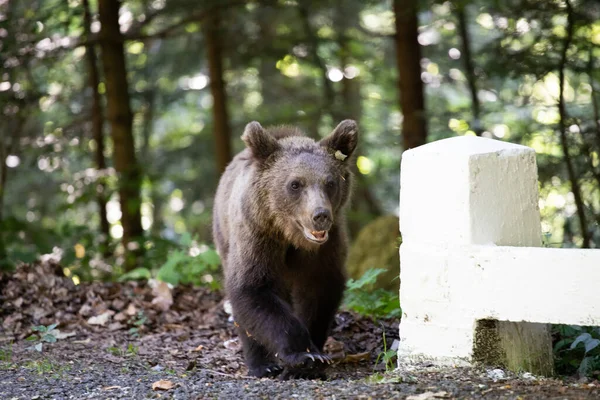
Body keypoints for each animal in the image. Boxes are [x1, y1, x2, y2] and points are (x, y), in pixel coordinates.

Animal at [213, 119, 358, 382]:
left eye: (330, 182)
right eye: (295, 184)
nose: (320, 215)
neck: (291, 237)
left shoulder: (325, 250)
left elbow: (319, 292)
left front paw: (314, 355)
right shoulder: (258, 236)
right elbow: (252, 289)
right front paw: (304, 356)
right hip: (224, 237)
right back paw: (262, 365)